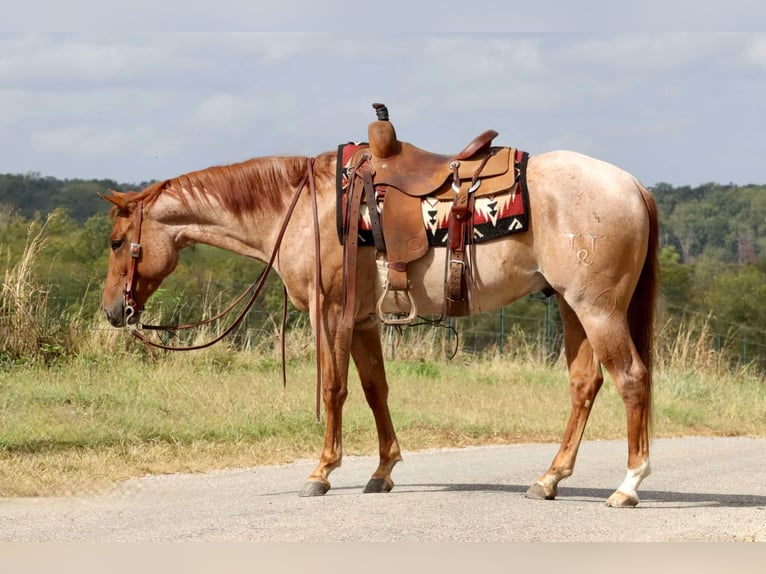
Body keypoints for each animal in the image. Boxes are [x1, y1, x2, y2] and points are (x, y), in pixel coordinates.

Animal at [102, 112, 660, 508]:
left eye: (116, 242)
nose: (112, 311)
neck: (303, 209)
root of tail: (633, 184)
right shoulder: (364, 318)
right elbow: (375, 389)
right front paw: (382, 471)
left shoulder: (329, 313)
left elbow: (334, 388)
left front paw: (322, 472)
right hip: (571, 306)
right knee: (585, 384)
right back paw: (549, 479)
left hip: (597, 308)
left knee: (631, 378)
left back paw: (628, 485)